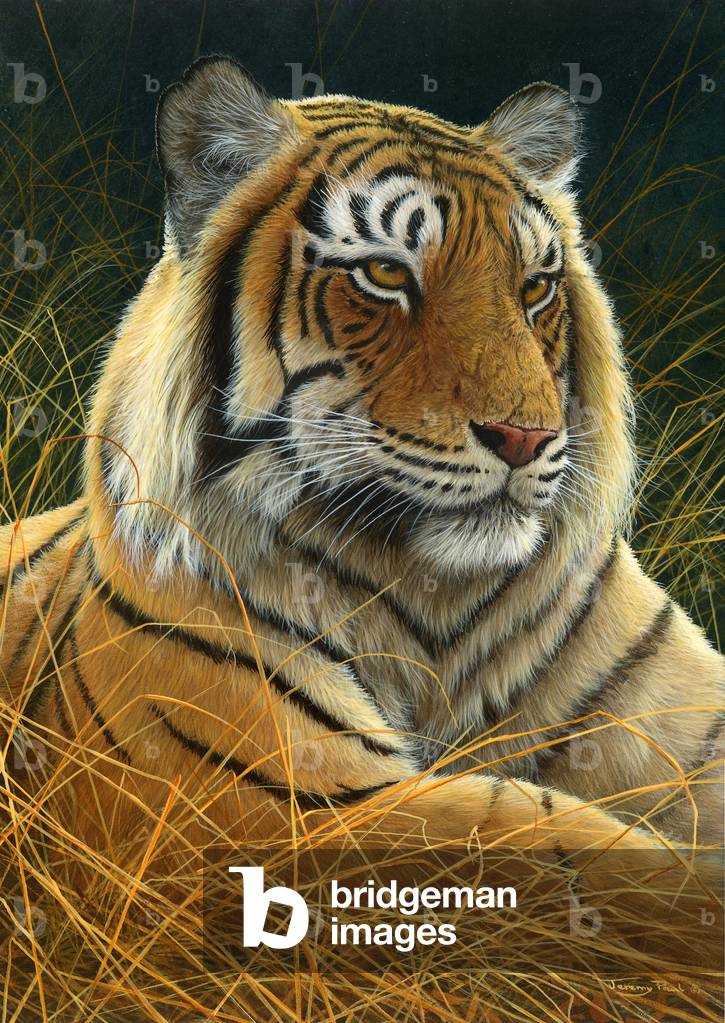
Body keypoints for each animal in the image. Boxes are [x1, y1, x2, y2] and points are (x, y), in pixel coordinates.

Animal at [1, 56, 723, 897]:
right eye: (385, 274)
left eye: (533, 287)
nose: (525, 437)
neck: (438, 605)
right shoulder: (283, 807)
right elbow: (583, 853)